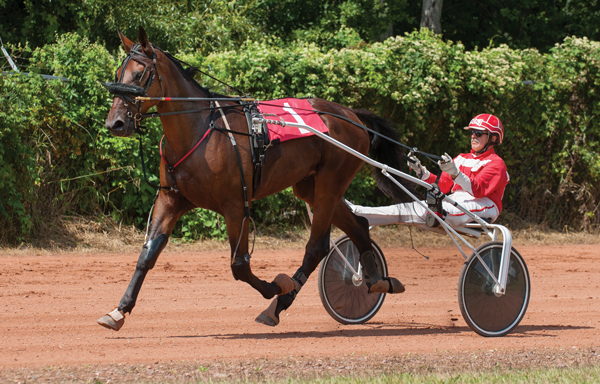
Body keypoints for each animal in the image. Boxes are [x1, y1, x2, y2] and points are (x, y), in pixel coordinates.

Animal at [98, 27, 414, 332]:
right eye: (118, 73)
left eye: (140, 73)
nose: (115, 123)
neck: (200, 129)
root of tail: (352, 115)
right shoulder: (171, 199)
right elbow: (148, 254)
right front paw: (119, 310)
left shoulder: (236, 204)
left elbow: (239, 266)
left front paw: (276, 287)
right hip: (311, 187)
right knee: (358, 226)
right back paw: (377, 280)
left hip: (330, 182)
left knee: (317, 247)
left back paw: (279, 304)